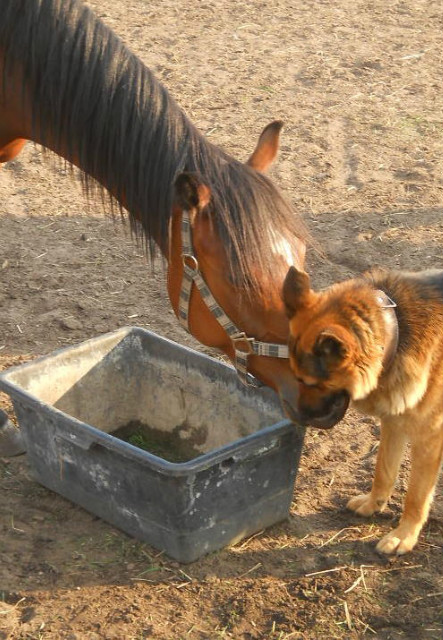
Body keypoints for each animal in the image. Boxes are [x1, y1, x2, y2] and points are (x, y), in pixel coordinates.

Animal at [284, 266, 443, 556]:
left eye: (311, 382)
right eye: (295, 375)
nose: (293, 414)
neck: (398, 330)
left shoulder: (429, 439)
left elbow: (416, 495)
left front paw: (404, 535)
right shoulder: (394, 421)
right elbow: (383, 469)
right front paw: (373, 503)